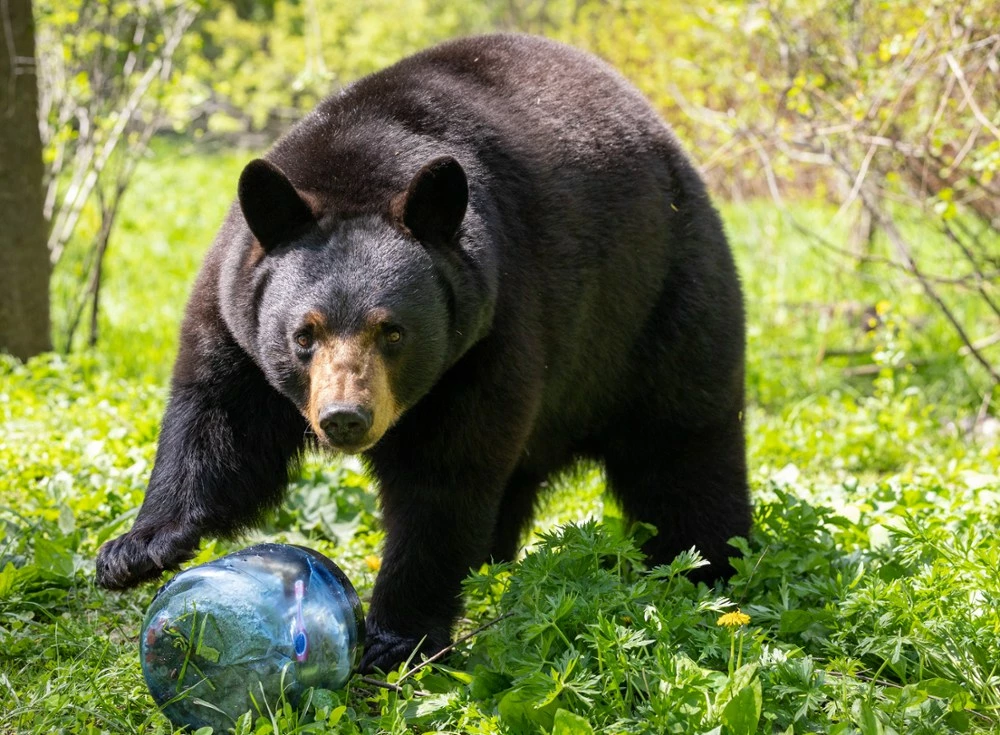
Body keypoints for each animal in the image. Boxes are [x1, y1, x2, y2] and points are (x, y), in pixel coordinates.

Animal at [96, 33, 750, 672]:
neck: (363, 158)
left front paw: (395, 639)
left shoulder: (489, 332)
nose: (345, 418)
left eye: (393, 332)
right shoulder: (235, 315)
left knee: (683, 449)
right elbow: (219, 425)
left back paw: (706, 569)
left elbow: (444, 481)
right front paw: (135, 550)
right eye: (303, 335)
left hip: (658, 304)